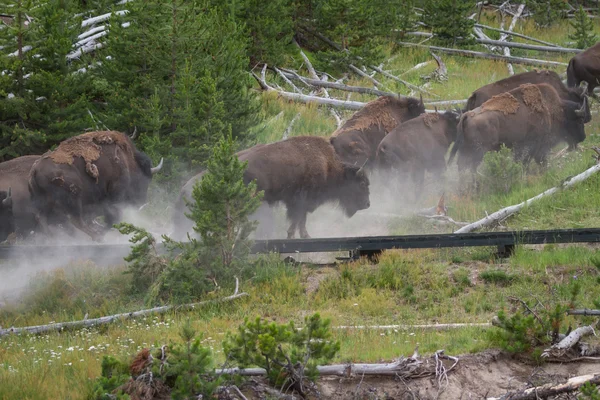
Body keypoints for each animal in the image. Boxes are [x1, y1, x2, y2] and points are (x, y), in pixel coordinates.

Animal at [29, 131, 163, 241]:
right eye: (144, 181)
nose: (141, 202)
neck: (127, 161)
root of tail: (35, 170)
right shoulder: (116, 192)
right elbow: (113, 216)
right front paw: (103, 231)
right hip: (74, 197)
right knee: (75, 219)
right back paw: (97, 236)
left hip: (44, 201)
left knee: (42, 218)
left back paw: (52, 239)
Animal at [172, 136, 370, 239]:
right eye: (362, 184)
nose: (367, 204)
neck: (328, 165)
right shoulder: (300, 201)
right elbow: (298, 219)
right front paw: (294, 236)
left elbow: (301, 220)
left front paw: (304, 236)